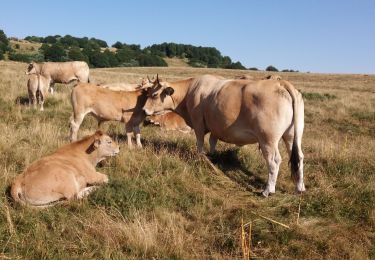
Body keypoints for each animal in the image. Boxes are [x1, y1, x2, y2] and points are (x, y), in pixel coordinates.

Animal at [144, 74, 306, 196]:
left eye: (154, 94)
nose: (144, 110)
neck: (190, 90)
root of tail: (281, 83)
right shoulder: (216, 128)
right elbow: (212, 142)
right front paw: (212, 159)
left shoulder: (198, 124)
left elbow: (200, 144)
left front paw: (201, 159)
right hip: (292, 135)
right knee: (298, 157)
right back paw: (300, 187)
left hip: (268, 139)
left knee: (274, 161)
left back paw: (268, 190)